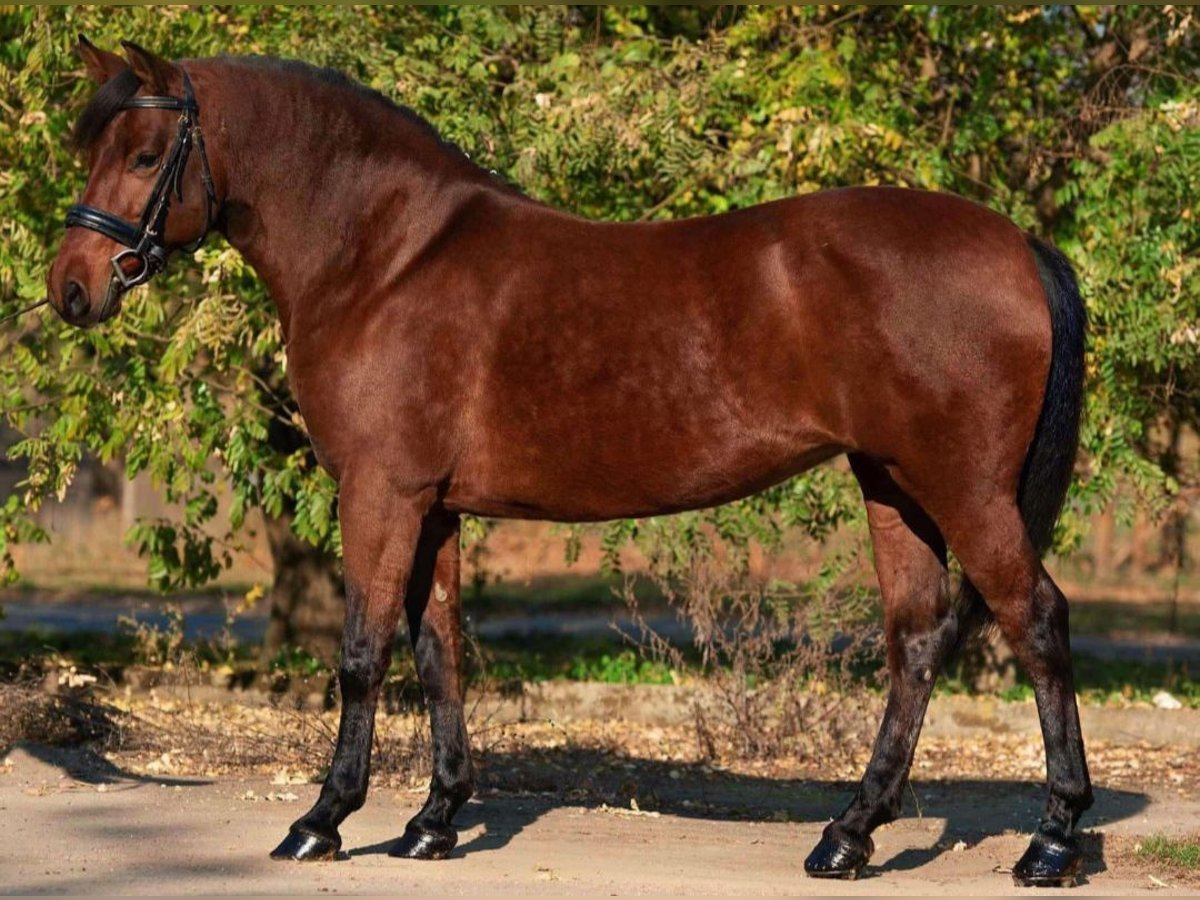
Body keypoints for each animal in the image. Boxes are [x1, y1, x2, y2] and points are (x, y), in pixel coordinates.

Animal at [46, 38, 1099, 892]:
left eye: (146, 155)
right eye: (88, 150)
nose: (70, 290)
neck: (388, 256)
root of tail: (1016, 241)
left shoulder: (380, 493)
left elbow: (361, 653)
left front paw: (323, 820)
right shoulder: (433, 505)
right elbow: (438, 651)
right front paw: (432, 823)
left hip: (964, 491)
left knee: (1038, 621)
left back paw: (1050, 843)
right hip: (893, 486)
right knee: (917, 641)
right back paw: (848, 837)